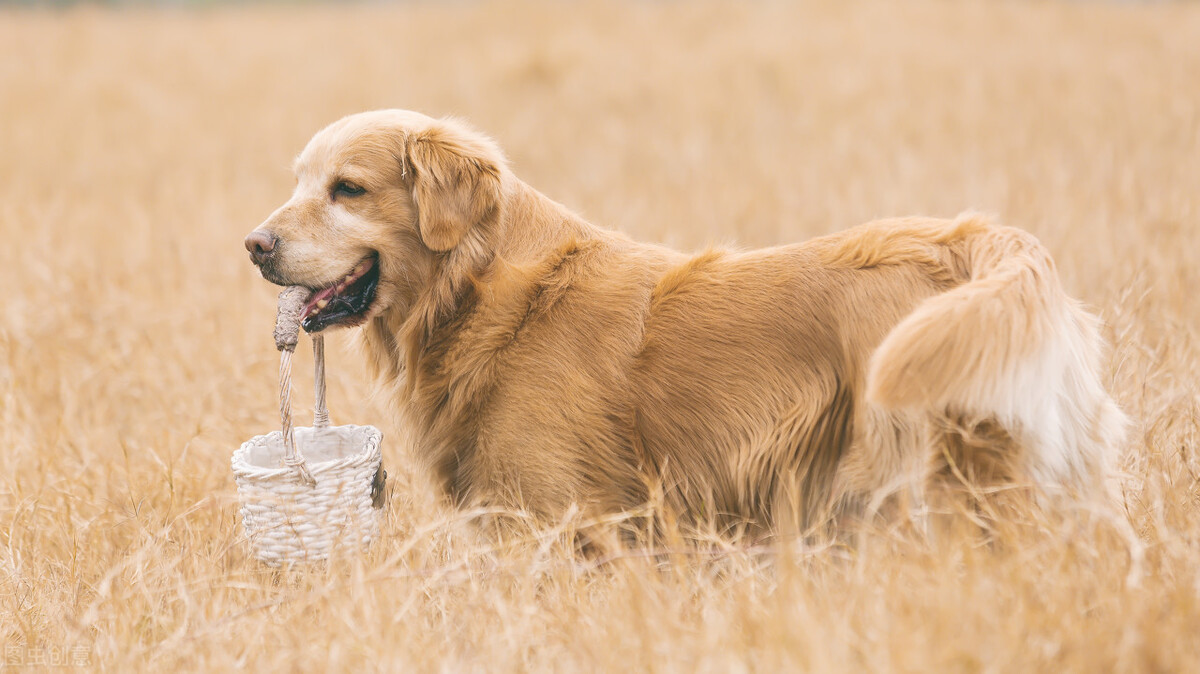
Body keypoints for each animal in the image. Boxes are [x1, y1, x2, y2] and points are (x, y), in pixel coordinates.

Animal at [243, 107, 1123, 532]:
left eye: (348, 189)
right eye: (298, 182)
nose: (254, 245)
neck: (482, 290)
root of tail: (971, 242)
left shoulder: (564, 522)